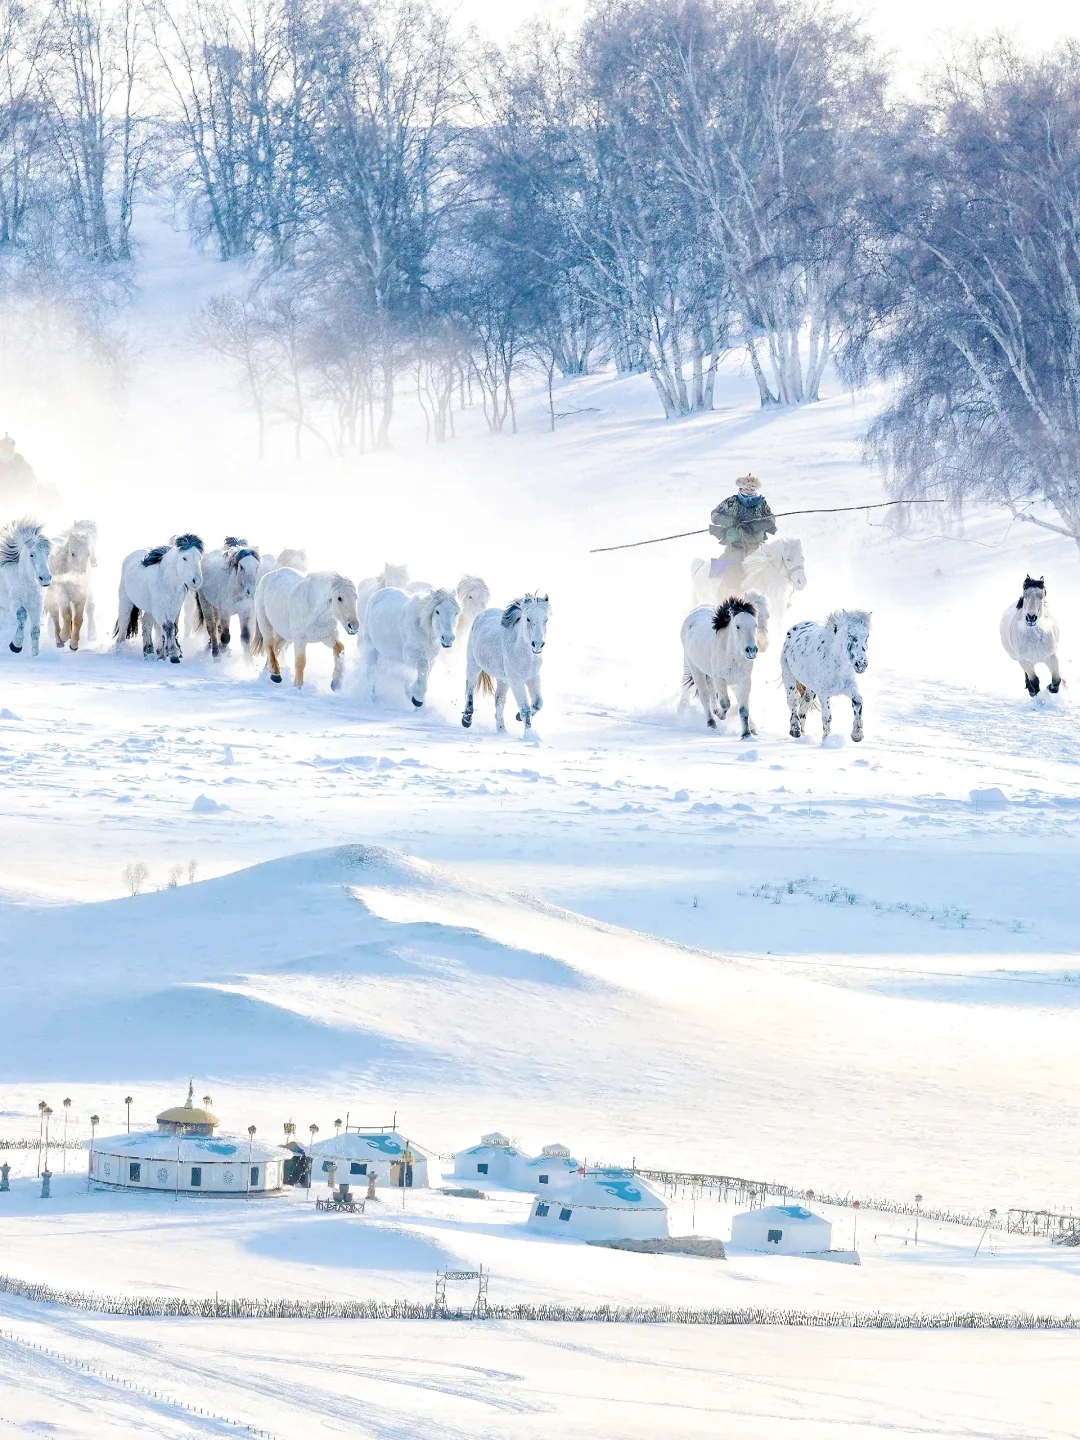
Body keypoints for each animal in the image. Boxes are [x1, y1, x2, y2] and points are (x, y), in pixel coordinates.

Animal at [0, 518, 51, 653]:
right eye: (31, 555)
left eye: (47, 554)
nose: (45, 579)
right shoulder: (15, 603)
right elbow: (22, 615)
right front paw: (15, 646)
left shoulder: (37, 606)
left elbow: (35, 631)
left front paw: (35, 654)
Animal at [45, 521, 96, 650]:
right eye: (72, 553)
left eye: (88, 553)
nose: (80, 575)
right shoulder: (62, 595)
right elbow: (66, 615)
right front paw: (63, 636)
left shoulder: (81, 597)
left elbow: (78, 619)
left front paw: (74, 643)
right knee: (55, 616)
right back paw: (59, 640)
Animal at [463, 590, 550, 737]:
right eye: (528, 619)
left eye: (546, 619)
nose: (538, 645)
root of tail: (482, 613)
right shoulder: (516, 680)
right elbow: (525, 709)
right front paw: (529, 735)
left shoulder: (533, 677)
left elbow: (538, 703)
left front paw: (518, 717)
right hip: (473, 664)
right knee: (470, 688)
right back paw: (466, 720)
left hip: (502, 679)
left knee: (499, 699)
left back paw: (501, 729)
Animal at [685, 590, 771, 737]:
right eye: (737, 626)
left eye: (754, 625)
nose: (751, 650)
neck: (731, 654)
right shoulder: (719, 678)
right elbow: (725, 703)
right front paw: (720, 715)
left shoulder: (744, 681)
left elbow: (743, 709)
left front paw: (746, 734)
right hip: (696, 669)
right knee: (704, 695)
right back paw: (711, 722)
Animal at [783, 610, 875, 743]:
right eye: (850, 634)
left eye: (867, 636)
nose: (861, 664)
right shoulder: (823, 693)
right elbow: (827, 716)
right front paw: (826, 741)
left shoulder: (848, 687)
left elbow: (858, 702)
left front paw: (857, 735)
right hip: (788, 678)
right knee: (793, 701)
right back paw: (795, 730)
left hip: (811, 690)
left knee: (804, 707)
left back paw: (804, 735)